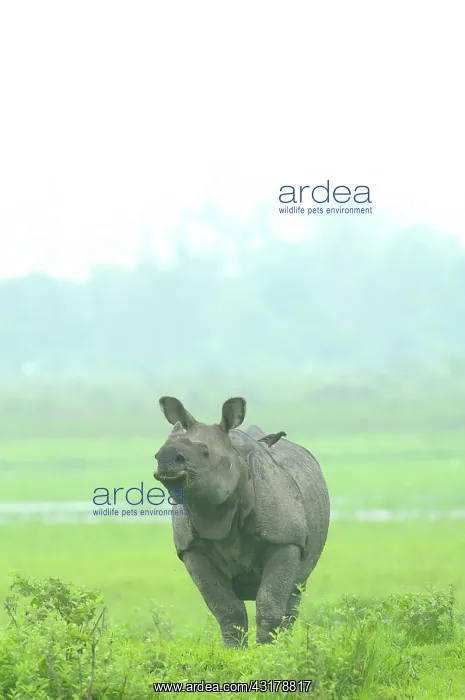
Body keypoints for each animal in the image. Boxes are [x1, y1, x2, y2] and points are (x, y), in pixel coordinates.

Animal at [153, 396, 330, 646]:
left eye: (205, 452)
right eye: (158, 452)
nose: (166, 458)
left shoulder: (285, 540)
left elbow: (270, 603)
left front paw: (268, 651)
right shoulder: (191, 549)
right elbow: (226, 609)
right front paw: (233, 651)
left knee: (295, 591)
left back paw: (286, 647)